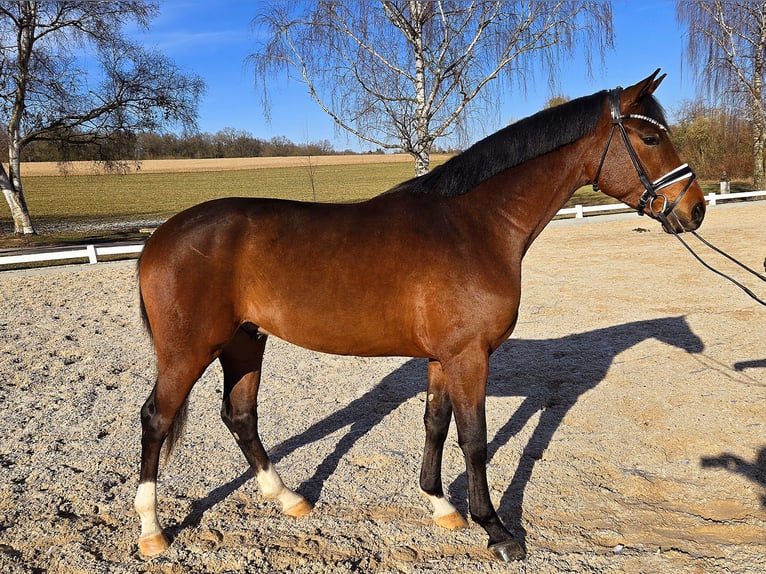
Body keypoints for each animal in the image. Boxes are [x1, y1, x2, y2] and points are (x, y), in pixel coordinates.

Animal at [132, 71, 708, 564]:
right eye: (651, 138)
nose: (695, 209)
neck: (474, 225)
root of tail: (160, 239)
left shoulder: (442, 357)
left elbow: (435, 424)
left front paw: (441, 505)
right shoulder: (469, 356)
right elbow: (474, 439)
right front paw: (496, 529)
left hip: (246, 342)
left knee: (240, 416)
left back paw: (288, 498)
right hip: (190, 351)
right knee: (156, 419)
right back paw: (152, 531)